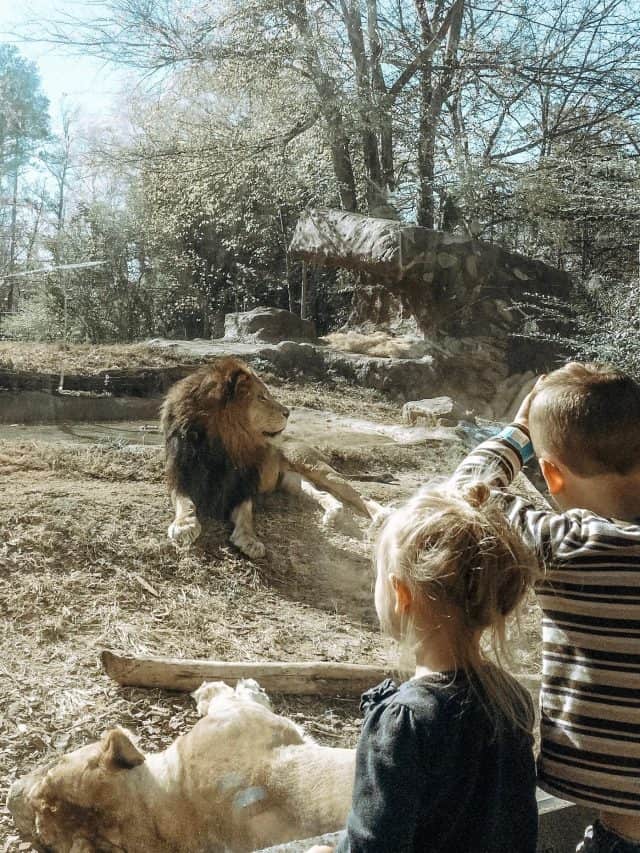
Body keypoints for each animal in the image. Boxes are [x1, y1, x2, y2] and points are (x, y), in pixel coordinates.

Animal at [6, 680, 356, 852]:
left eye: (53, 766)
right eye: (43, 839)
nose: (9, 796)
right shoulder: (244, 720)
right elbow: (229, 698)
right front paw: (220, 687)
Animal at [160, 354, 376, 560]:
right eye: (261, 397)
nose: (288, 412)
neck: (224, 445)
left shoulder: (243, 486)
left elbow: (246, 513)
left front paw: (250, 540)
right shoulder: (181, 477)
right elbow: (184, 502)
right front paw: (184, 525)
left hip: (315, 467)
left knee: (360, 496)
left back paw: (379, 519)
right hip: (292, 481)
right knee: (324, 494)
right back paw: (333, 515)